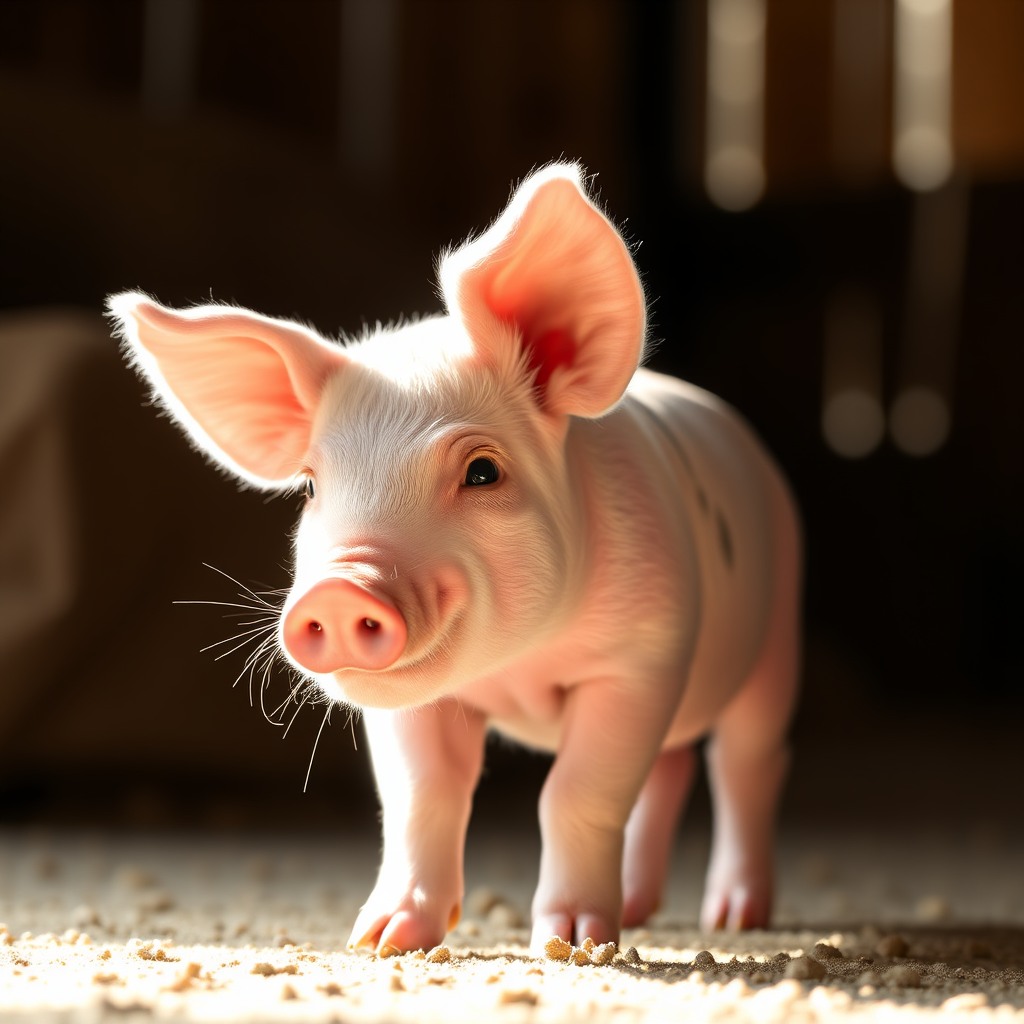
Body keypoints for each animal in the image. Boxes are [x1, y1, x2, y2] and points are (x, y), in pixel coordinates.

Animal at [107, 162, 801, 956]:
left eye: (481, 471)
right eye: (312, 486)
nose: (339, 590)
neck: (519, 668)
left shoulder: (643, 656)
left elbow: (576, 792)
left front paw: (572, 945)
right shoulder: (416, 707)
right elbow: (422, 794)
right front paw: (382, 940)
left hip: (780, 625)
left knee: (745, 760)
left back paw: (735, 917)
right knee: (674, 764)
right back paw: (644, 908)